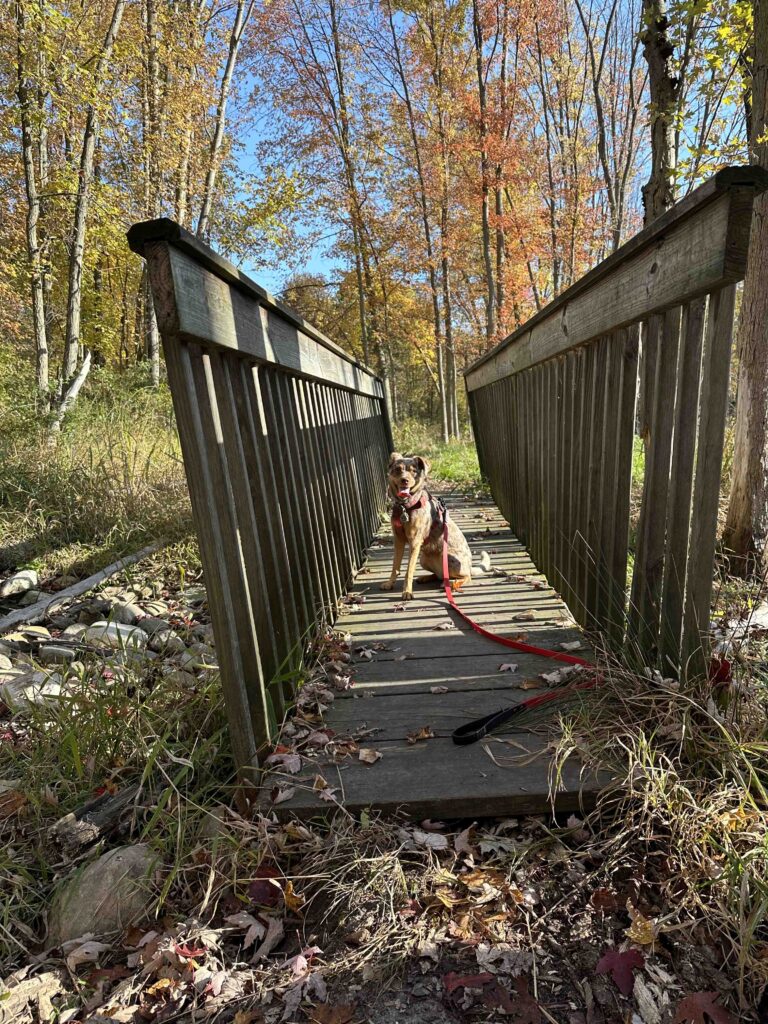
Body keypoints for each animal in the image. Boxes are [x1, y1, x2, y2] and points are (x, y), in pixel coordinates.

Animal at [382, 454, 475, 602]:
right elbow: (395, 566)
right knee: (439, 575)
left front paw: (407, 592)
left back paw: (452, 583)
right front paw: (390, 583)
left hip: (448, 557)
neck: (405, 507)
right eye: (398, 469)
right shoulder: (398, 540)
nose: (405, 480)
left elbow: (409, 570)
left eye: (414, 471)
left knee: (466, 577)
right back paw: (426, 578)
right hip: (424, 558)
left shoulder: (414, 542)